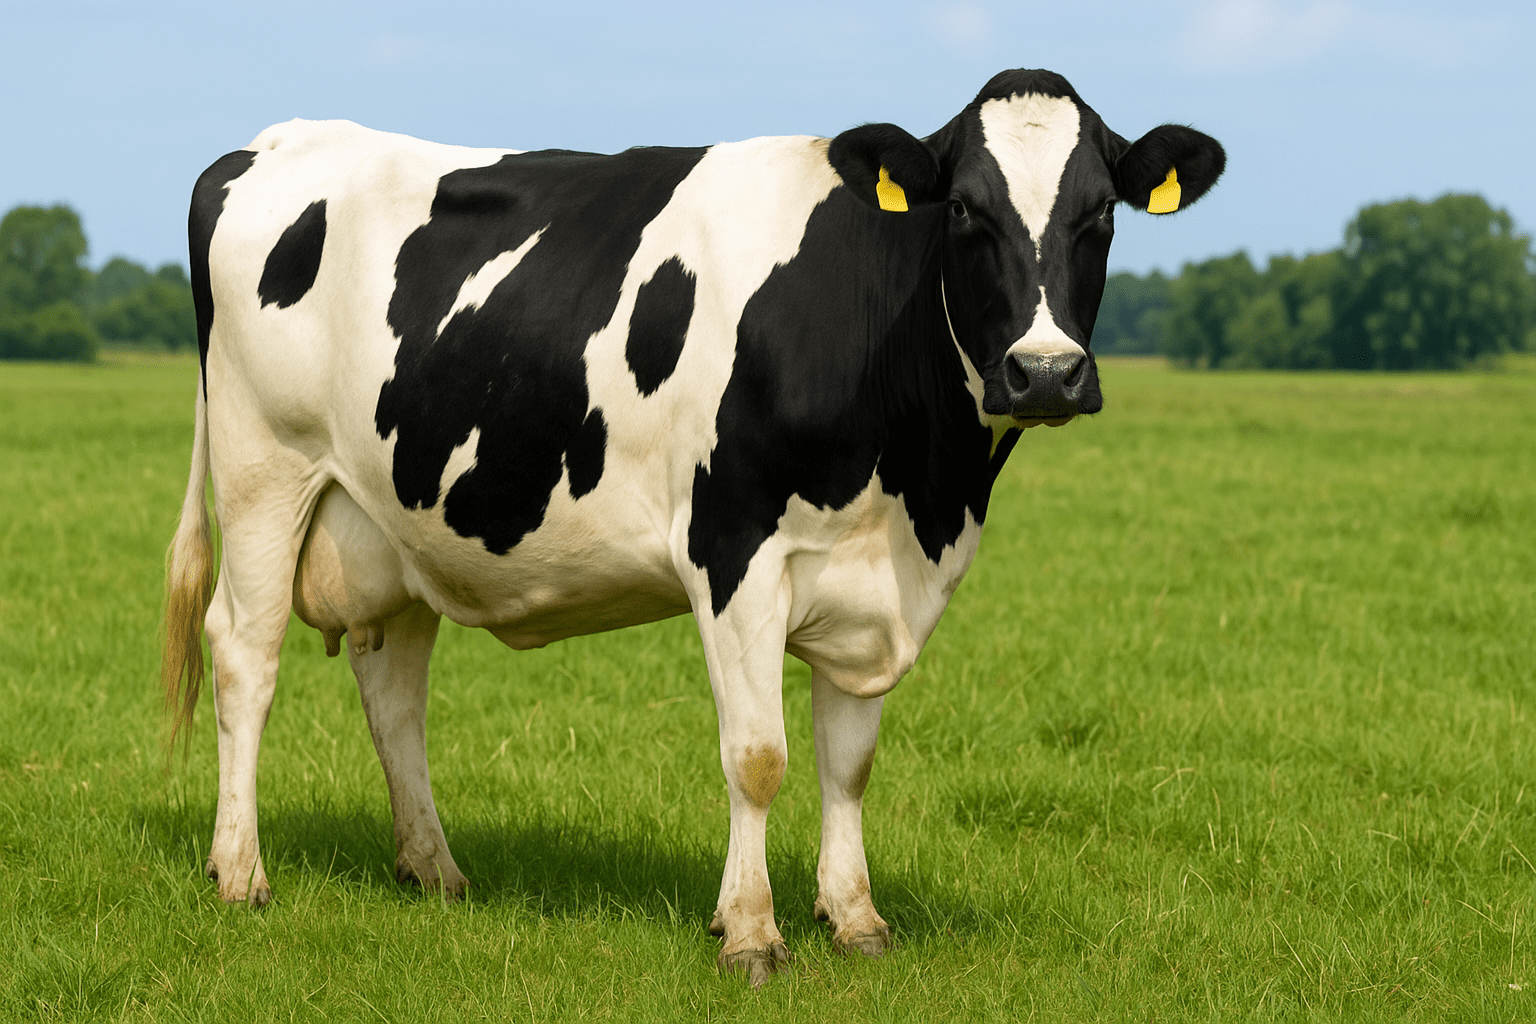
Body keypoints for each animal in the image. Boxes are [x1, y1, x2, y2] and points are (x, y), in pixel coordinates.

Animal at [162, 68, 1223, 985]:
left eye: (1102, 213)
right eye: (964, 208)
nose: (1044, 372)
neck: (919, 490)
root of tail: (274, 142)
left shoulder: (872, 581)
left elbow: (849, 763)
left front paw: (855, 920)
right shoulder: (734, 546)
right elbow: (758, 757)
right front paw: (751, 934)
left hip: (398, 519)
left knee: (394, 689)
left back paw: (434, 869)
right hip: (266, 469)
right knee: (245, 653)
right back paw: (240, 872)